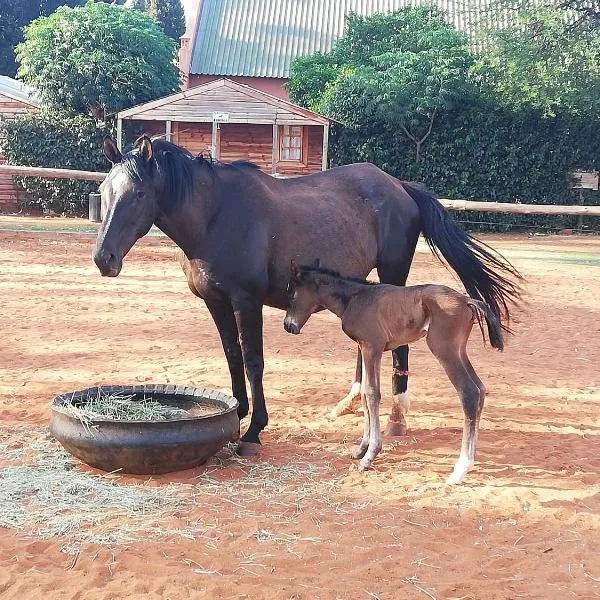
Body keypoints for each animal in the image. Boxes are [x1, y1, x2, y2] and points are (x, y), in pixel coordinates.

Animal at [284, 262, 504, 482]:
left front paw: (370, 456)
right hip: (459, 350)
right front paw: (361, 449)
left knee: (469, 392)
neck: (355, 298)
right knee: (480, 388)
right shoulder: (366, 348)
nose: (288, 326)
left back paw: (460, 469)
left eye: (292, 294)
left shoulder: (372, 347)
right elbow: (365, 394)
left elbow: (372, 394)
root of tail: (467, 299)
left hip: (444, 349)